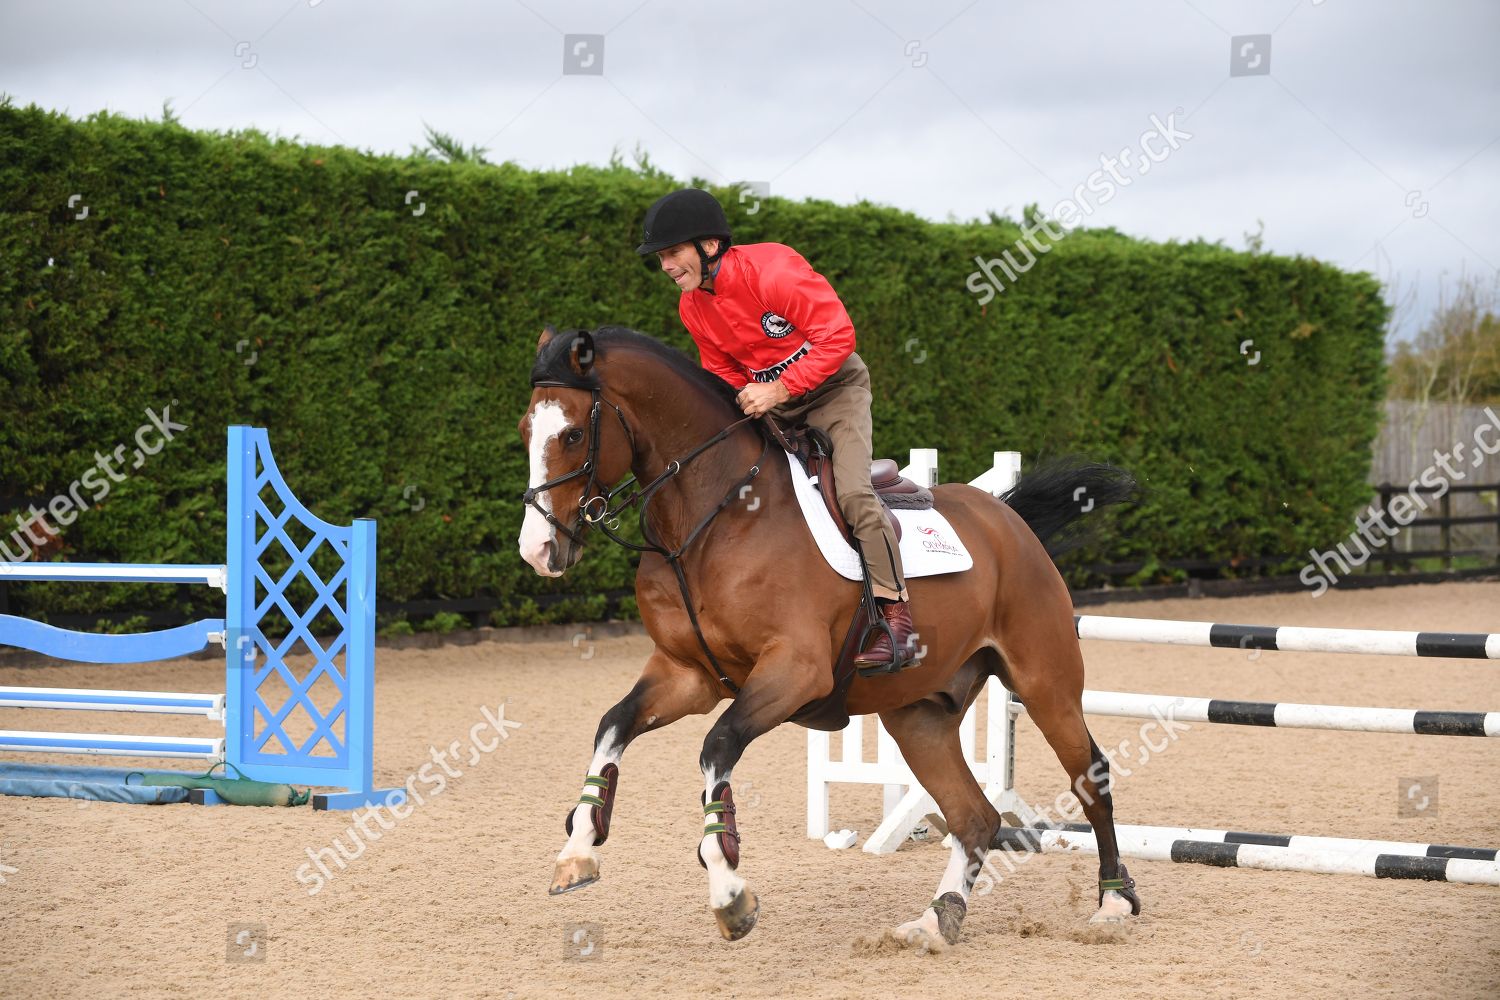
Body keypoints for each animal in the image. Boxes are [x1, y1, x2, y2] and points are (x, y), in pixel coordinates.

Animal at [516, 326, 1134, 947]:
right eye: (525, 431)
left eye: (572, 434)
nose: (538, 550)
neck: (710, 519)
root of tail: (1006, 518)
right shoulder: (688, 675)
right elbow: (612, 726)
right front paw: (577, 853)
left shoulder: (795, 671)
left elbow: (717, 747)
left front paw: (730, 894)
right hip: (919, 715)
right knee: (973, 815)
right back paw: (937, 918)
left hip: (1044, 683)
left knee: (1090, 775)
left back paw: (1113, 901)